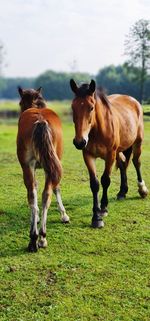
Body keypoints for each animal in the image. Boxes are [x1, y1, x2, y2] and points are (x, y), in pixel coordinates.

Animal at [17, 87, 69, 250]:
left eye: (20, 103)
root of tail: (39, 120)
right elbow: (56, 188)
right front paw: (64, 215)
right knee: (44, 194)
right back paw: (41, 237)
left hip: (28, 166)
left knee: (33, 194)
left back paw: (34, 238)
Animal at [70, 78, 148, 228]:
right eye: (73, 107)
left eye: (91, 107)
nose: (80, 142)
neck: (97, 130)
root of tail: (133, 100)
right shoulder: (88, 156)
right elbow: (94, 184)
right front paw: (96, 217)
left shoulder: (110, 156)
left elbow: (105, 180)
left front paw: (103, 209)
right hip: (119, 150)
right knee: (123, 164)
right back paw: (122, 192)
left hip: (137, 143)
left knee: (136, 162)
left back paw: (142, 189)